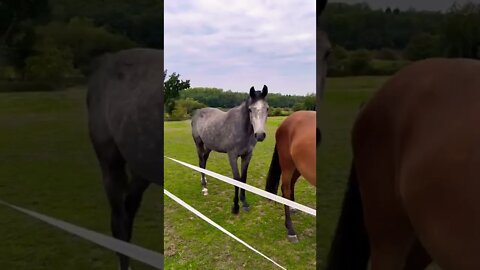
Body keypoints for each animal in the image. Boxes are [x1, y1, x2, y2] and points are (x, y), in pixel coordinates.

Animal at [189, 86, 268, 215]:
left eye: (267, 108)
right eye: (250, 110)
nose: (260, 135)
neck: (241, 129)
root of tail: (198, 112)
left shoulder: (247, 155)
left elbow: (243, 178)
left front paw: (244, 203)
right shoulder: (232, 156)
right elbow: (236, 179)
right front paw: (235, 207)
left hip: (209, 146)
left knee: (204, 161)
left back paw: (204, 181)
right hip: (199, 143)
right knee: (200, 162)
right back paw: (204, 188)